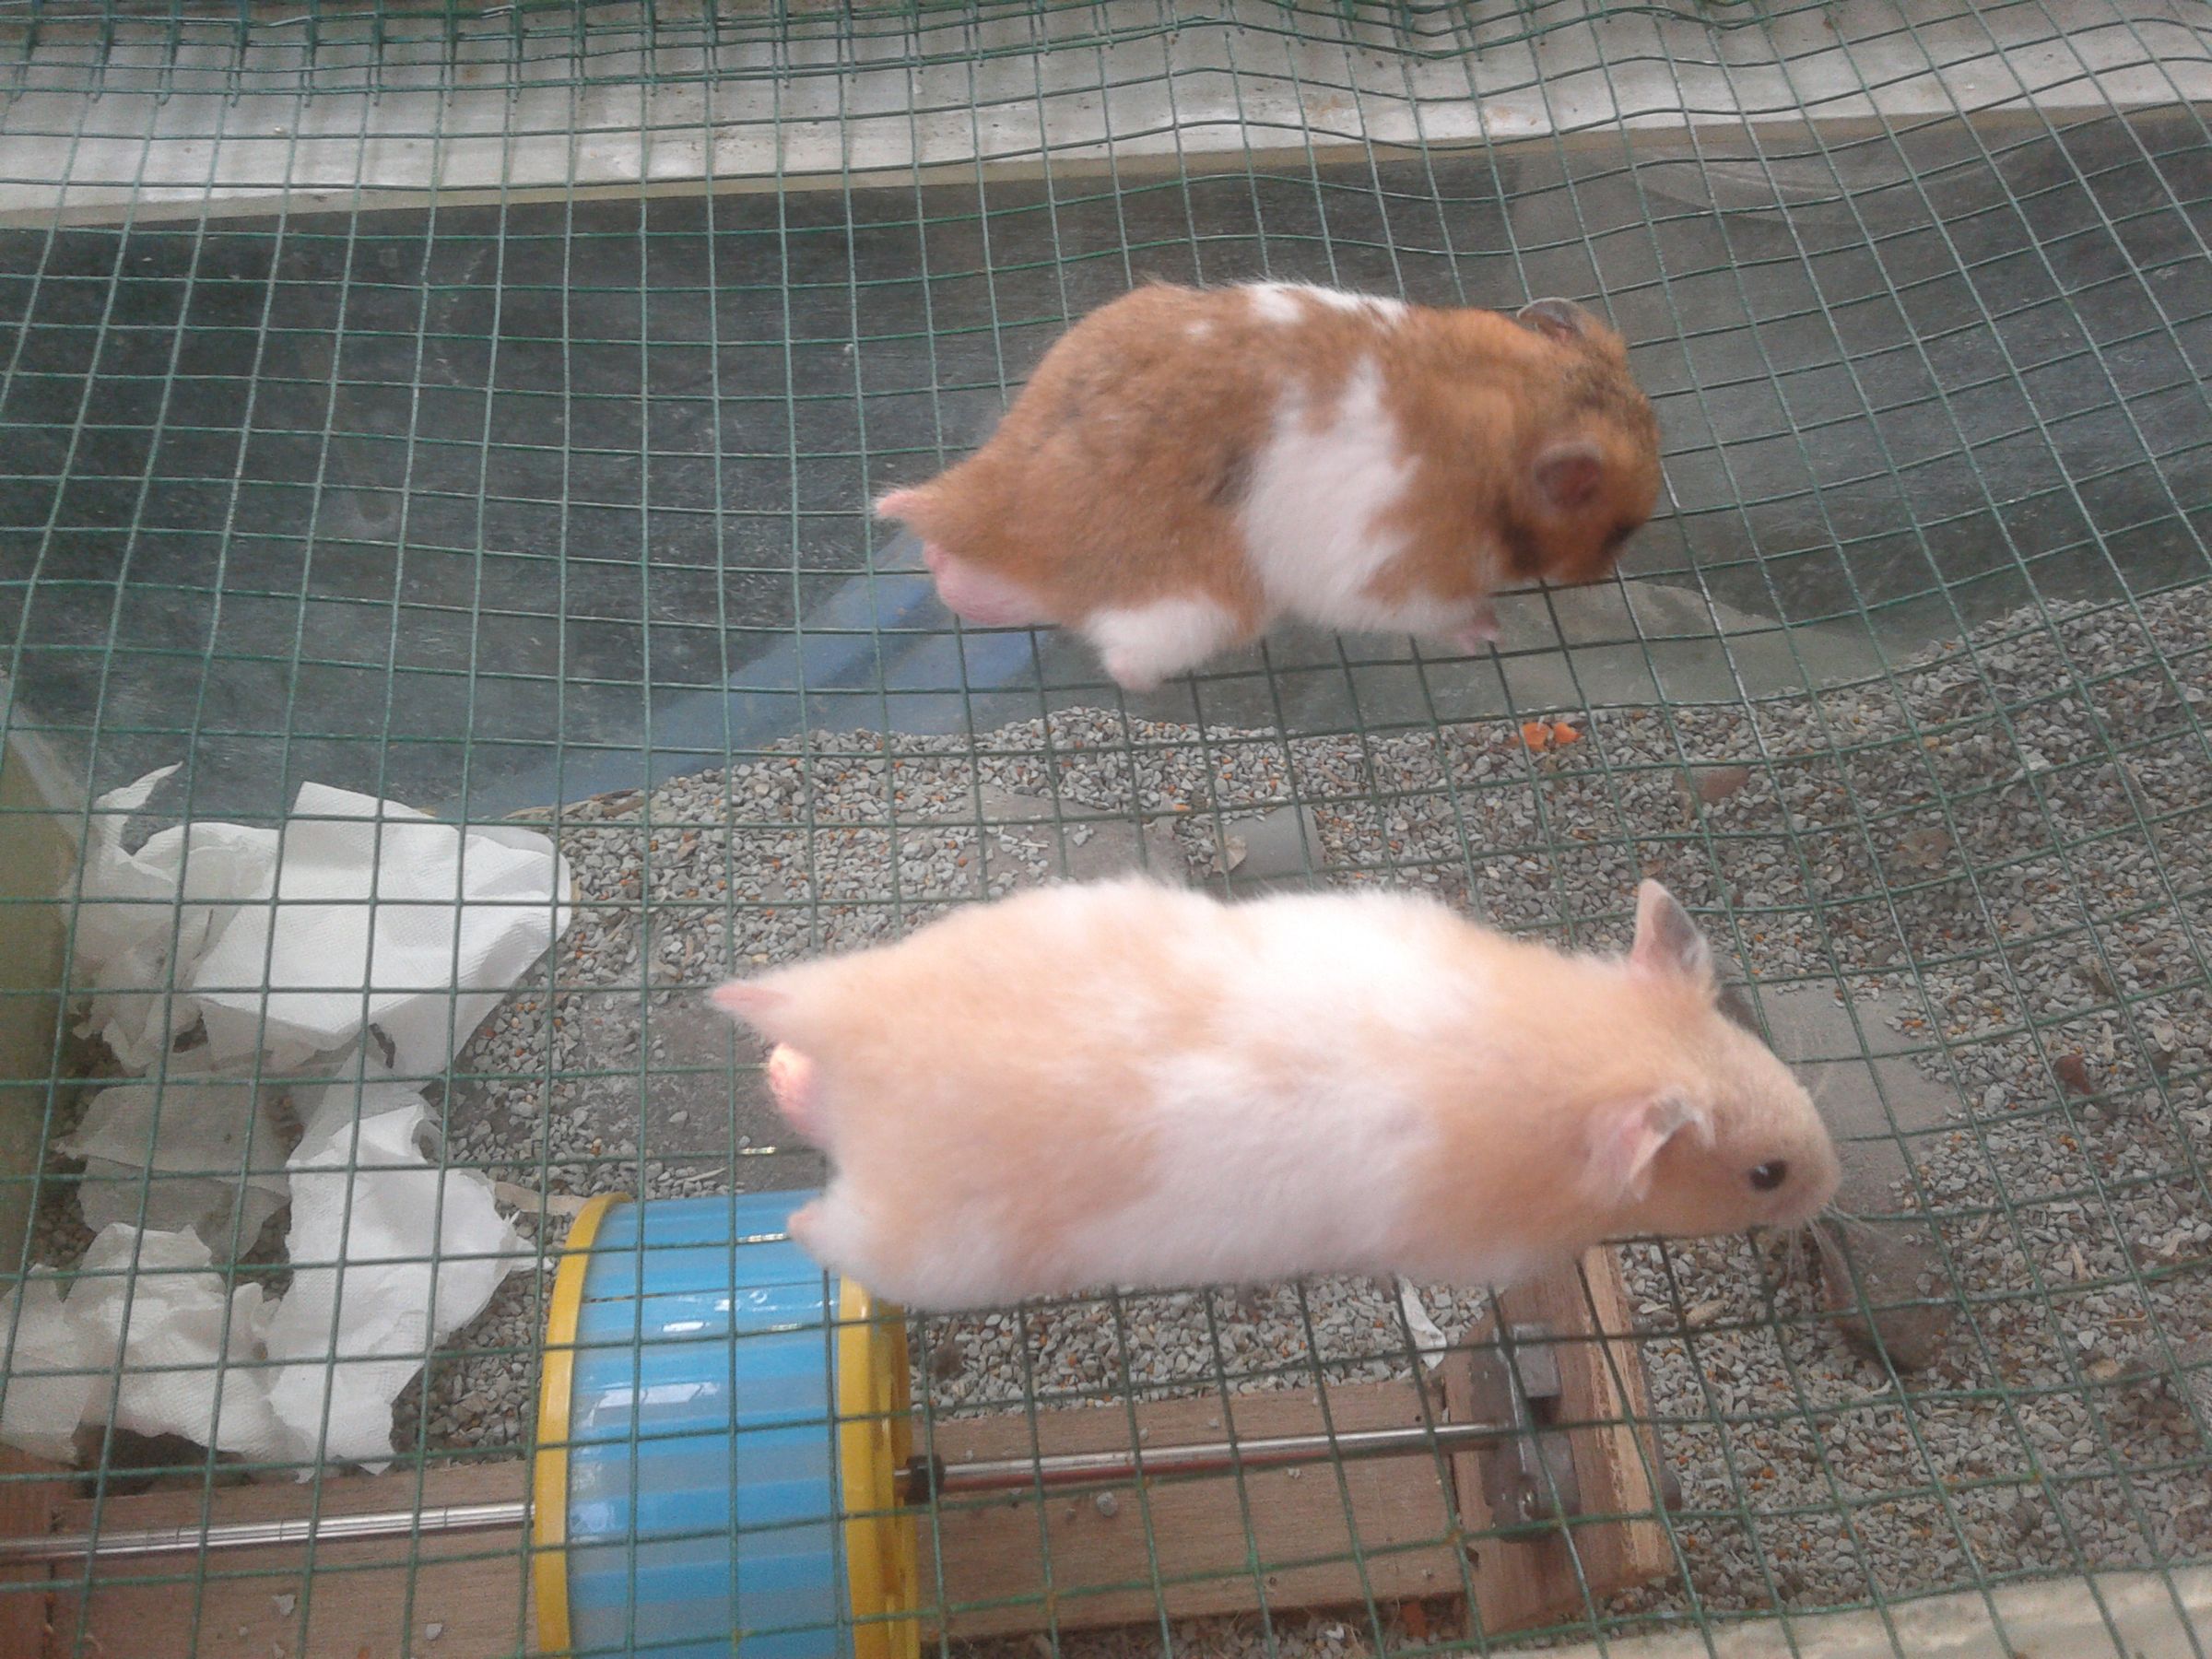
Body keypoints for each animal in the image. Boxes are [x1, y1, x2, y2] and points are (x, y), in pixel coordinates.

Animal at [712, 878, 1838, 1311]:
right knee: (818, 1220)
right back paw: (792, 1214)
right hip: (927, 1247)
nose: (1834, 1189)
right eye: (1764, 1174)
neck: (1573, 1054)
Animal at [874, 281, 1662, 692]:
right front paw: (1490, 631)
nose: (1605, 572)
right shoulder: (1400, 575)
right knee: (1125, 662)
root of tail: (981, 501)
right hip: (1196, 609)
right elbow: (1447, 614)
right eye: (1621, 528)